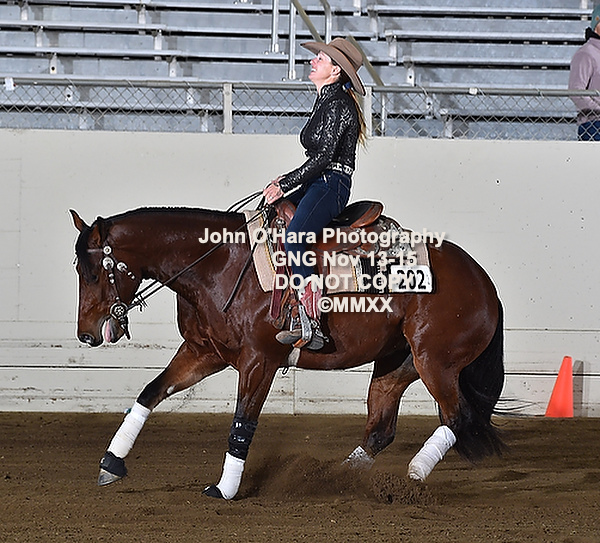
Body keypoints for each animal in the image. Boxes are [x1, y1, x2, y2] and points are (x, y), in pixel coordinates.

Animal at [70, 205, 505, 499]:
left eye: (93, 273)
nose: (86, 335)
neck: (219, 264)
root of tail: (484, 282)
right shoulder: (203, 353)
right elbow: (151, 392)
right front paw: (111, 463)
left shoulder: (259, 361)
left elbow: (243, 422)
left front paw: (225, 489)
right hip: (396, 365)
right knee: (382, 430)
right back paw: (338, 478)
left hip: (435, 362)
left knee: (457, 417)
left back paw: (413, 474)